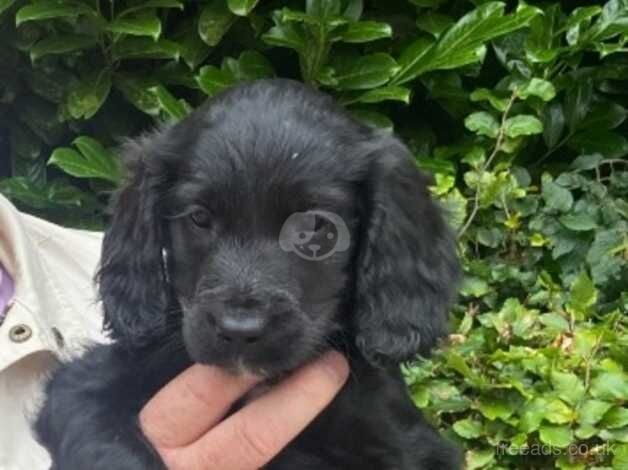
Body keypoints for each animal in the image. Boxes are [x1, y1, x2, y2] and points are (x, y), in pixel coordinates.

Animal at [33, 79, 462, 468]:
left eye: (315, 227)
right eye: (199, 217)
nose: (239, 329)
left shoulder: (407, 444)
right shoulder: (83, 386)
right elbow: (110, 446)